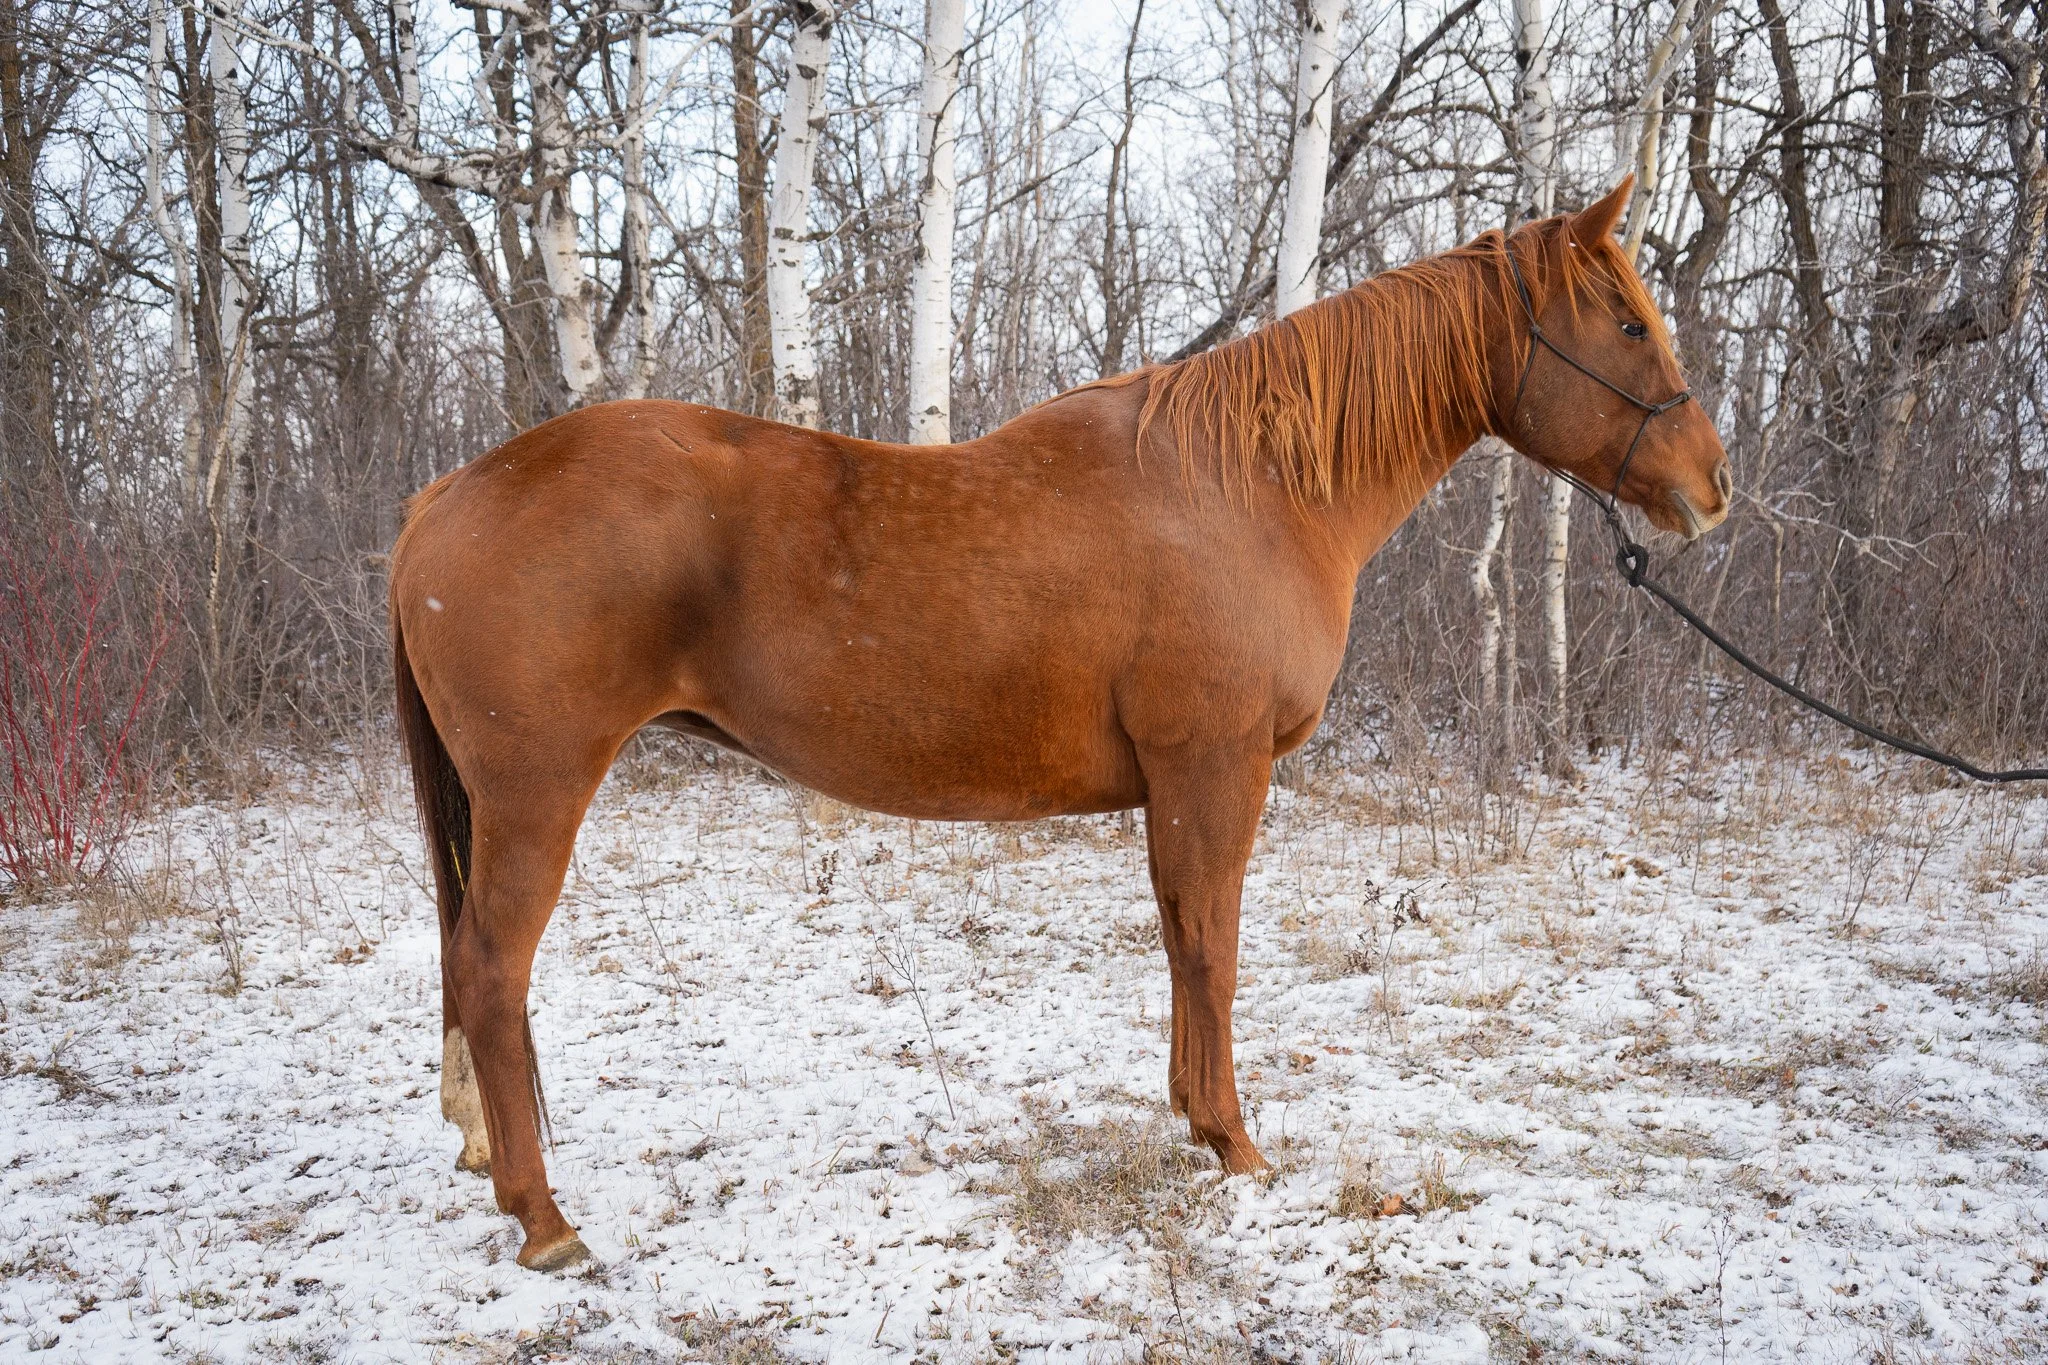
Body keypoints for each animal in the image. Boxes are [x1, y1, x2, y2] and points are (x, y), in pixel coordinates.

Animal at [389, 178, 1730, 1271]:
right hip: (536, 796)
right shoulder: (1213, 771)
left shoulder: (1184, 784)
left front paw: (1197, 1125)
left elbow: (1183, 942)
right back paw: (546, 1222)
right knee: (491, 970)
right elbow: (1210, 946)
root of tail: (448, 491)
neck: (1249, 489)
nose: (1711, 486)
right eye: (1625, 323)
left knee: (465, 965)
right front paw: (1233, 1144)